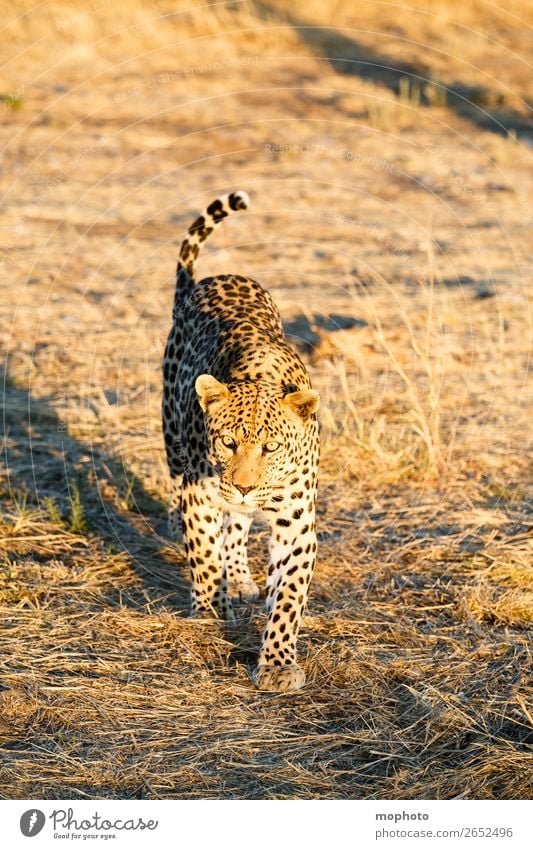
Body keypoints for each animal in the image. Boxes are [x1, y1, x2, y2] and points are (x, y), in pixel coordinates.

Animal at [162, 189, 318, 692]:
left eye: (271, 448)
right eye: (227, 443)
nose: (246, 485)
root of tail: (212, 278)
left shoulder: (296, 522)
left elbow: (288, 596)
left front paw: (278, 663)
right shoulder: (199, 492)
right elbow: (204, 554)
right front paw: (210, 614)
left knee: (238, 527)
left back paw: (245, 580)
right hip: (173, 446)